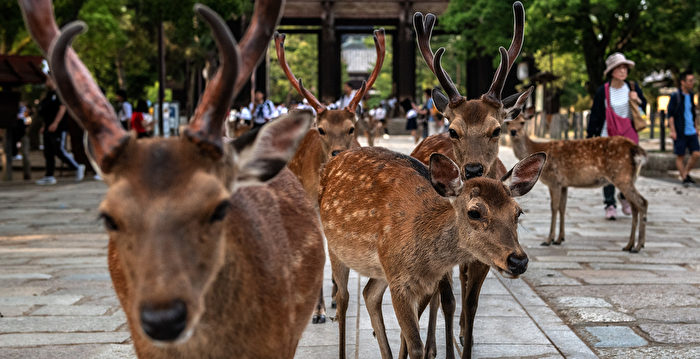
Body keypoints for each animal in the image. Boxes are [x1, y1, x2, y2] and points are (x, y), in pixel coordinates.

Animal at [318, 146, 548, 359]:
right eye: (474, 212)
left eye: (518, 212)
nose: (518, 261)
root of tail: (330, 162)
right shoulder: (400, 283)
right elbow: (415, 346)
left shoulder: (423, 280)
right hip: (335, 247)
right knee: (343, 298)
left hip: (382, 268)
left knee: (369, 294)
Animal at [410, 2, 532, 358]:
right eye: (454, 130)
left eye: (497, 129)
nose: (474, 170)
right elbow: (449, 301)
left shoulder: (485, 257)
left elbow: (472, 306)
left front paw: (466, 340)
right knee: (440, 299)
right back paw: (433, 346)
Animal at [506, 108, 648, 252]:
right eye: (508, 123)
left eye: (522, 122)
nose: (513, 132)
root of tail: (637, 151)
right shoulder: (564, 184)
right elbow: (562, 208)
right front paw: (559, 239)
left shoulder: (554, 180)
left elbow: (554, 208)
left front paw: (548, 240)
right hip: (628, 178)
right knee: (635, 206)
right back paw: (630, 245)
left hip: (621, 176)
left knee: (642, 202)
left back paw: (637, 246)